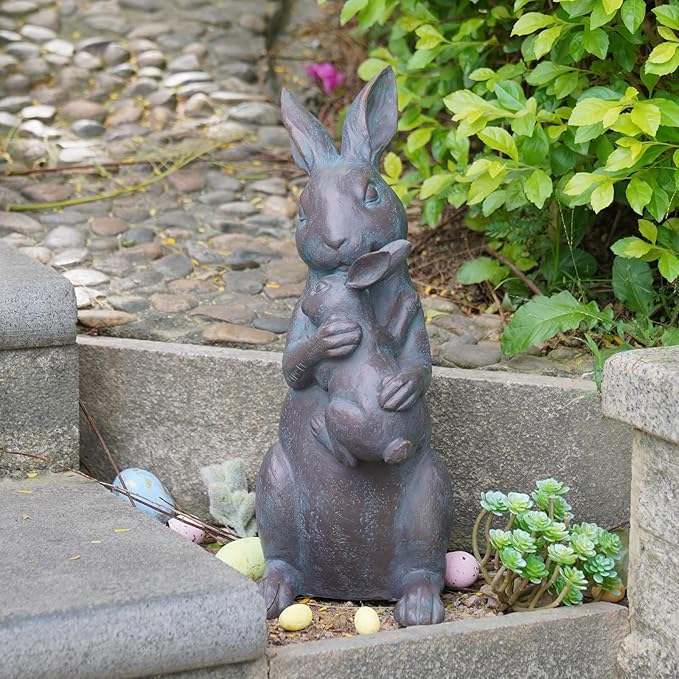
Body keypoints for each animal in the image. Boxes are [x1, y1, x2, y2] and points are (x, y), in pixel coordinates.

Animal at [301, 238, 426, 467]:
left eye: (320, 288)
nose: (304, 305)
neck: (357, 319)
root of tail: (396, 444)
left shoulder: (325, 369)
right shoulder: (385, 336)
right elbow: (397, 328)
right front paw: (411, 300)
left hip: (336, 412)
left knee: (347, 458)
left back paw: (319, 428)